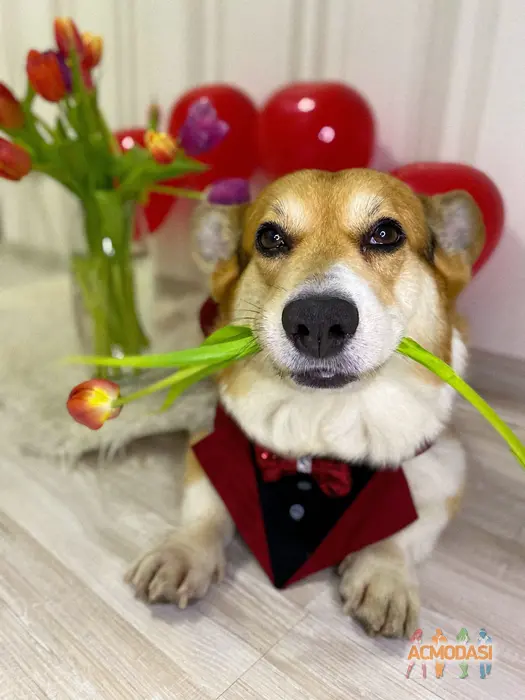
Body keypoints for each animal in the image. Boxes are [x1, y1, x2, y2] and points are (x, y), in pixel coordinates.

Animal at [126, 168, 485, 638]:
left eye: (386, 234)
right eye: (270, 238)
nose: (317, 321)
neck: (325, 423)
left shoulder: (443, 470)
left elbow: (403, 527)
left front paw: (385, 575)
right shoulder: (213, 441)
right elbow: (207, 509)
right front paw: (182, 552)